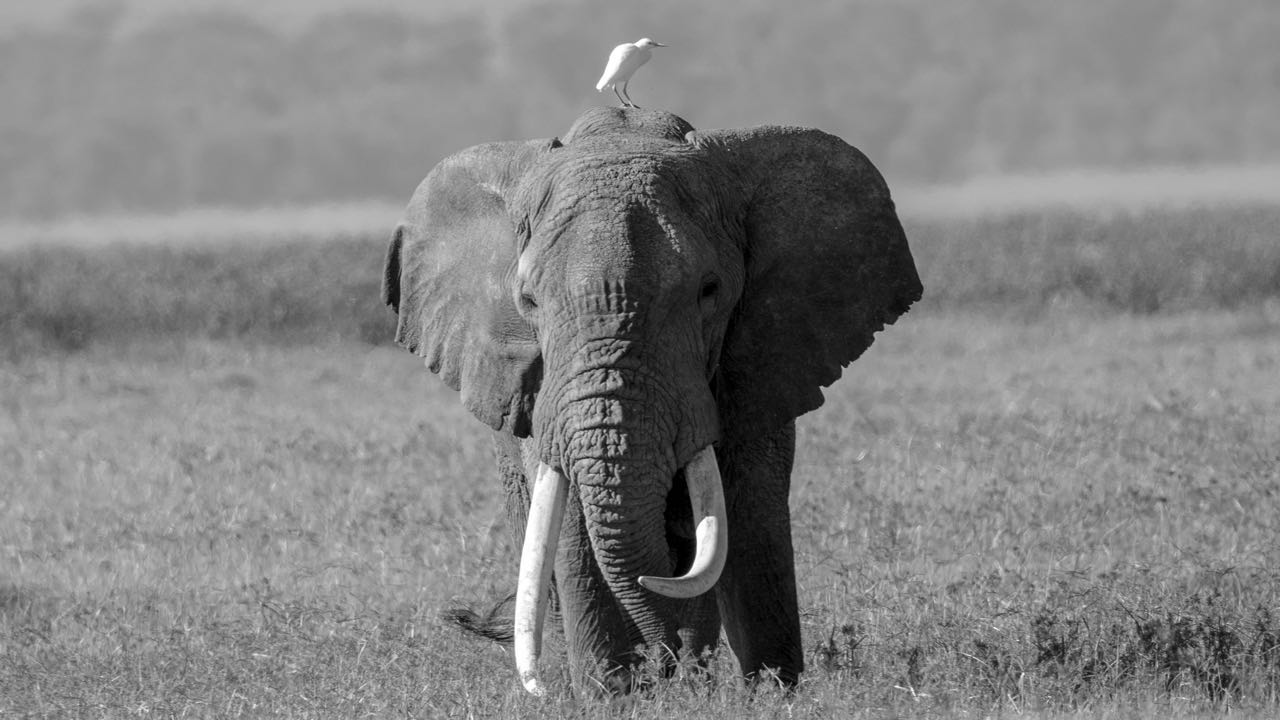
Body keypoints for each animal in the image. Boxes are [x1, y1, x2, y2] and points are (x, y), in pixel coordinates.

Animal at [382, 107, 922, 696]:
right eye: (528, 301)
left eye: (710, 291)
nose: (668, 670)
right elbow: (573, 529)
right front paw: (612, 696)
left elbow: (749, 519)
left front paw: (770, 693)